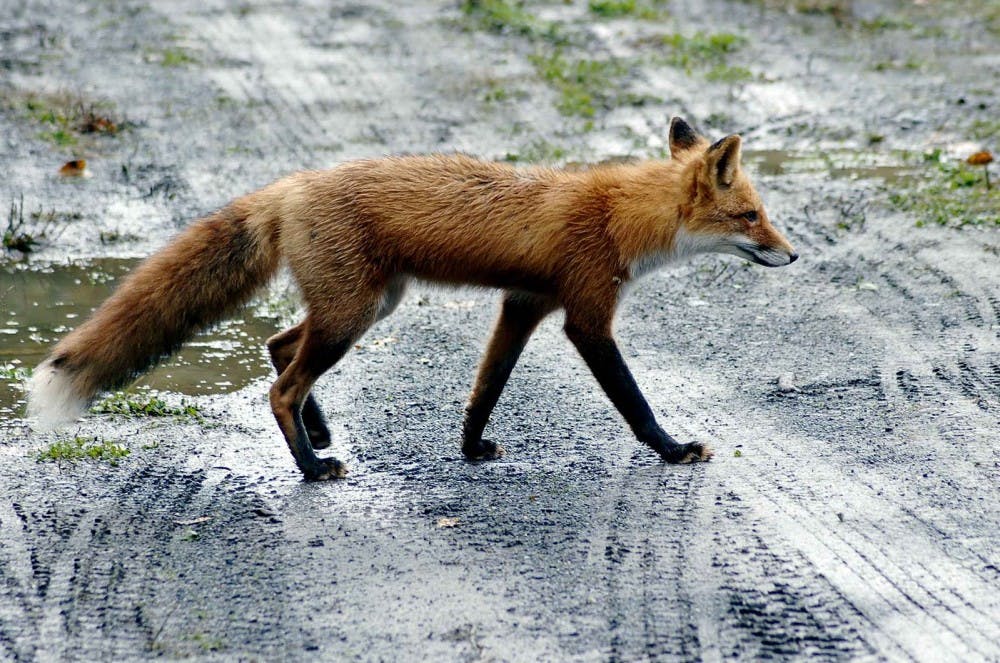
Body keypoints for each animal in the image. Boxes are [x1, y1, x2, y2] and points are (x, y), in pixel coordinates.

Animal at [28, 117, 797, 480]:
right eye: (752, 217)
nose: (794, 255)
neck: (618, 215)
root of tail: (291, 185)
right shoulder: (586, 315)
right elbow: (634, 403)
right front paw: (672, 450)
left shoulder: (522, 304)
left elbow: (486, 387)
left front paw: (470, 447)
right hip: (353, 314)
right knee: (281, 384)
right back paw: (312, 466)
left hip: (368, 305)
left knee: (277, 347)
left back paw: (318, 433)